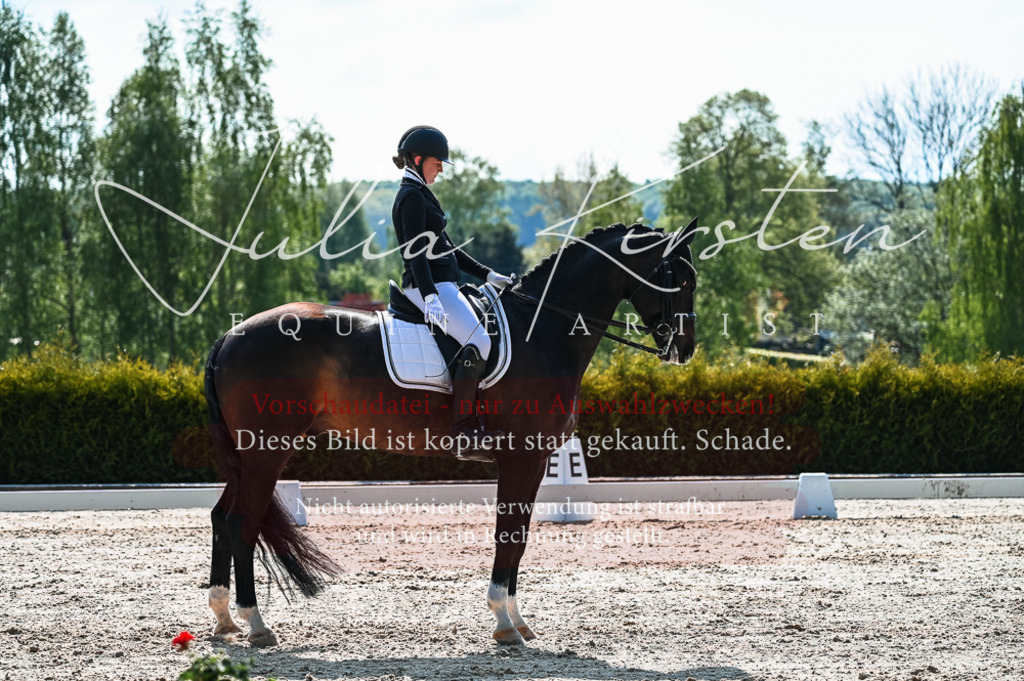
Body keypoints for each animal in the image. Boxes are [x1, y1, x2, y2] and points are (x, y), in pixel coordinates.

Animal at [202, 220, 698, 647]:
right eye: (680, 279)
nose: (685, 349)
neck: (542, 330)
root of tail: (229, 335)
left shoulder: (535, 460)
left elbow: (519, 537)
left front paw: (518, 621)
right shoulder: (521, 457)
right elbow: (508, 534)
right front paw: (504, 622)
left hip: (247, 457)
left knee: (221, 518)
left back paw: (224, 619)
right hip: (267, 452)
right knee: (242, 522)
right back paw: (257, 625)